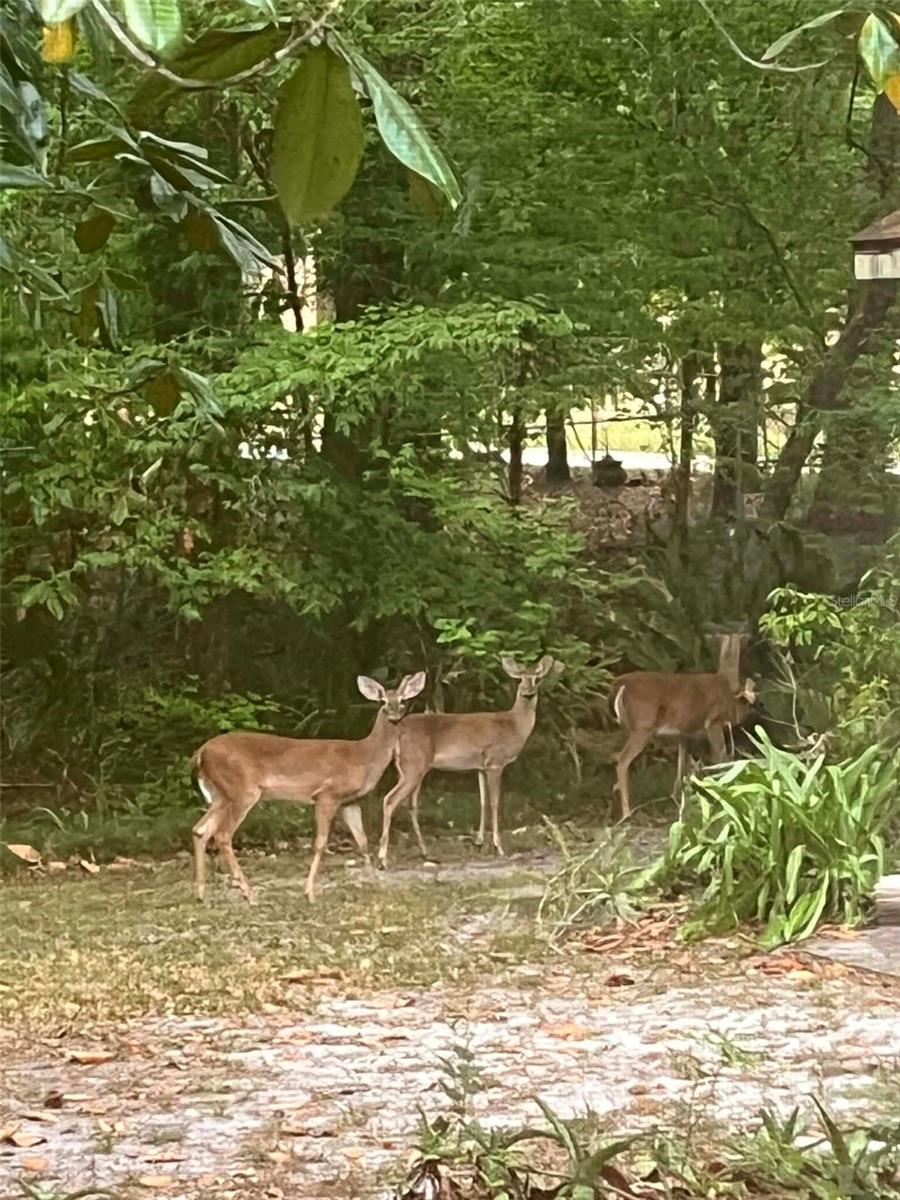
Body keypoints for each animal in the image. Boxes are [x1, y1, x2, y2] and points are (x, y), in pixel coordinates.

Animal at [191, 671, 426, 903]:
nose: (394, 715)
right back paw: (249, 894)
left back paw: (202, 894)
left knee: (200, 829)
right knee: (222, 835)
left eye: (403, 700)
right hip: (242, 790)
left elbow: (363, 841)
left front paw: (375, 883)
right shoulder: (327, 795)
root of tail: (201, 753)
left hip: (221, 794)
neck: (364, 757)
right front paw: (310, 892)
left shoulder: (350, 802)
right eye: (382, 701)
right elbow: (321, 843)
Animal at [376, 655, 564, 869]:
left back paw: (424, 852)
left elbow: (482, 801)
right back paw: (383, 859)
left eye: (537, 679)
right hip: (414, 766)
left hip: (408, 768)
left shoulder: (480, 766)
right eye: (519, 679)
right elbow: (495, 803)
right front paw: (498, 847)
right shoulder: (495, 761)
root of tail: (397, 732)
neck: (514, 726)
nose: (527, 692)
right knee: (390, 799)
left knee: (408, 804)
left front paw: (479, 842)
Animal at [610, 632, 755, 818]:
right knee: (622, 760)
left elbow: (682, 765)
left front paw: (678, 799)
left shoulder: (683, 733)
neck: (726, 684)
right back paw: (627, 812)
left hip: (628, 728)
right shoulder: (713, 722)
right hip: (642, 727)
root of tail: (619, 684)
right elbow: (720, 757)